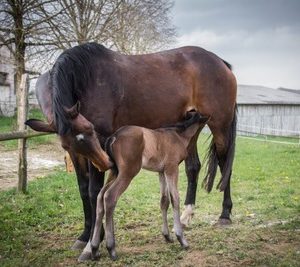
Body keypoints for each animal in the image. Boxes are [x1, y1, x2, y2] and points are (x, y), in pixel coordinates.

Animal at [90, 112, 210, 260]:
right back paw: (111, 248)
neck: (178, 136)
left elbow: (164, 201)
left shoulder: (161, 171)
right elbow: (175, 198)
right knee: (110, 196)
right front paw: (181, 239)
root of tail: (114, 136)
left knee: (100, 196)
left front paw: (167, 236)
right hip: (128, 172)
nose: (209, 117)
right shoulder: (171, 168)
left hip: (114, 171)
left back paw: (94, 248)